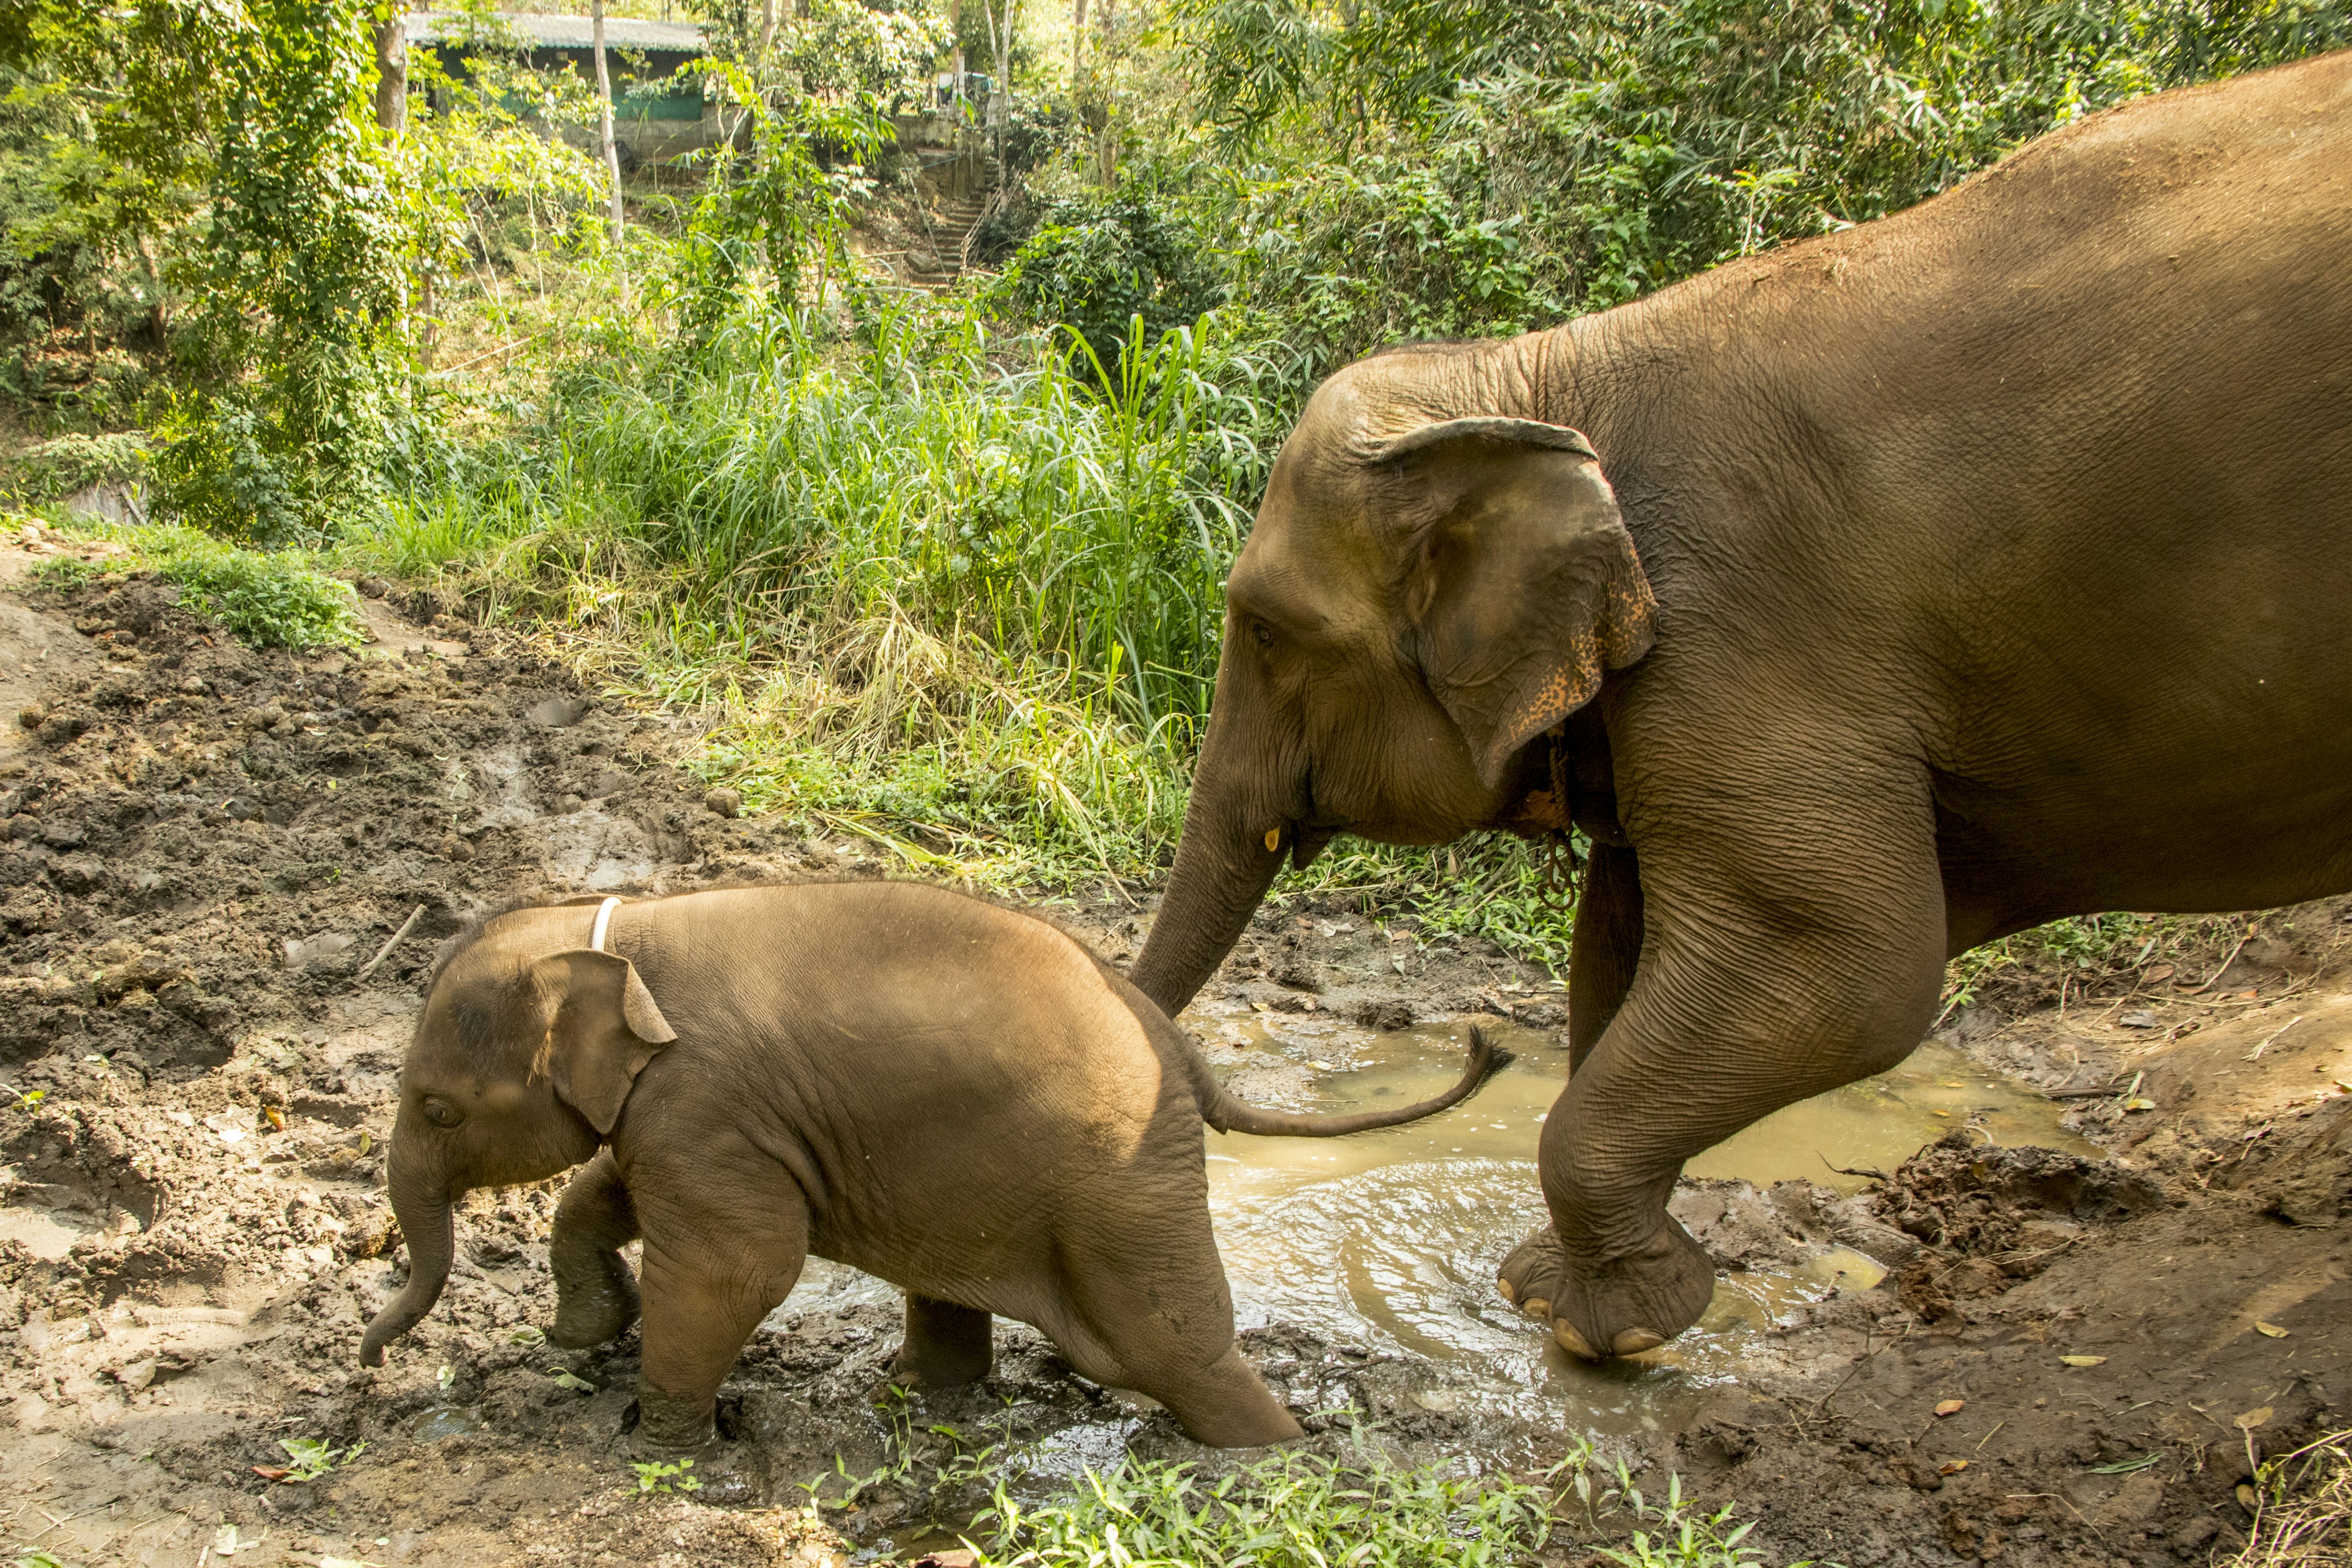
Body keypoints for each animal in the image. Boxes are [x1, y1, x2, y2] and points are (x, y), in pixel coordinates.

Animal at [356, 881, 1507, 1453]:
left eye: (436, 1107)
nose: (368, 1366)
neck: (605, 929)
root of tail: (1181, 1049)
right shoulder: (688, 1115)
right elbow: (611, 1191)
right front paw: (588, 1334)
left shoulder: (705, 1100)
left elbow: (745, 1263)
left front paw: (659, 1448)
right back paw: (918, 1392)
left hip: (1125, 1188)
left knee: (1176, 1348)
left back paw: (1274, 1455)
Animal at [1126, 53, 2352, 1362]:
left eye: (1264, 630)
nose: (1480, 1043)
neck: (1541, 371)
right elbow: (1619, 946)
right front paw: (1564, 1298)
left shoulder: (1750, 626)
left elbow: (1843, 963)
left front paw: (1606, 1327)